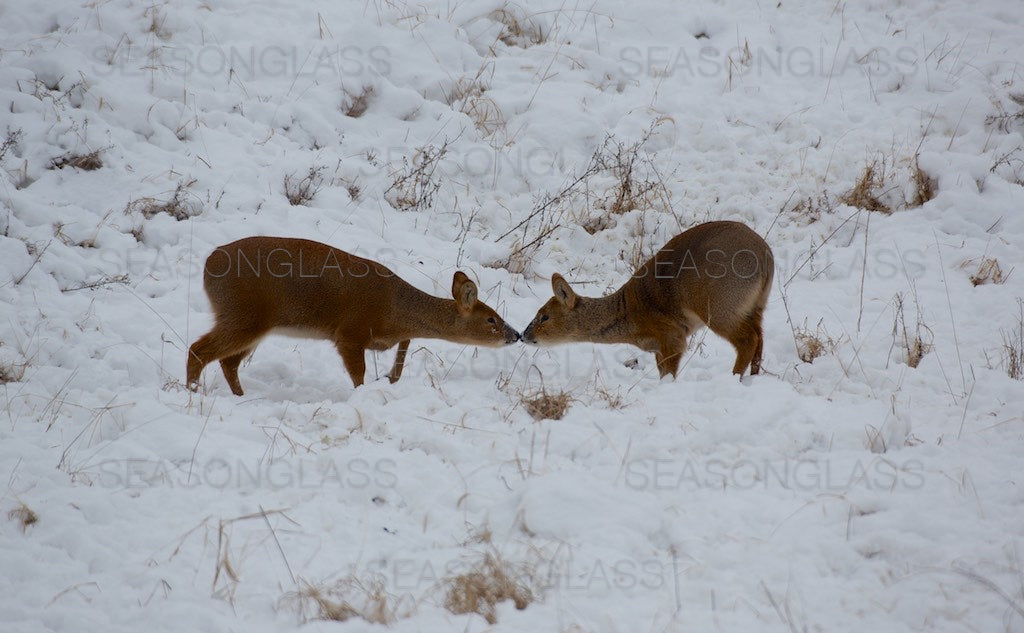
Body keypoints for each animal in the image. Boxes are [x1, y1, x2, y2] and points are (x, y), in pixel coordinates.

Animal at [186, 236, 520, 393]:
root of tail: (208, 265)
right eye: (491, 318)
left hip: (252, 323)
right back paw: (192, 392)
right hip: (242, 313)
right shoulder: (349, 332)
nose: (515, 334)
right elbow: (358, 375)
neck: (394, 311)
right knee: (199, 350)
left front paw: (391, 377)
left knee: (227, 362)